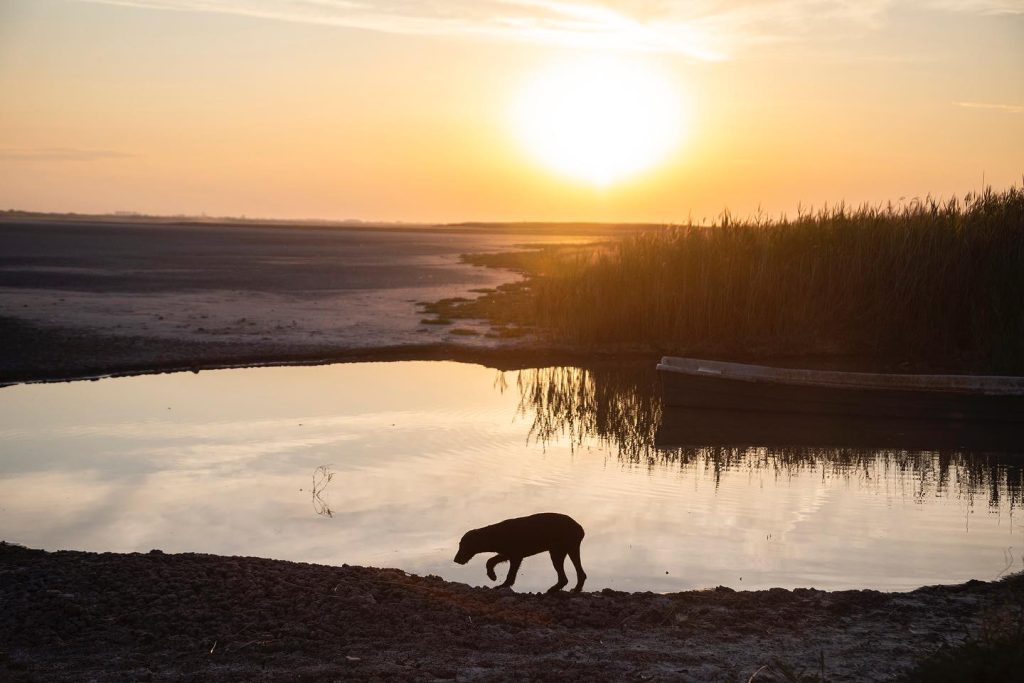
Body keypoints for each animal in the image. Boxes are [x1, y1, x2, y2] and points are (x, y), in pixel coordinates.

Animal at [454, 511, 589, 593]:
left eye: (463, 545)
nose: (455, 560)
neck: (495, 534)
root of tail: (580, 528)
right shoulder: (507, 554)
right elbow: (490, 561)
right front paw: (492, 575)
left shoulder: (516, 556)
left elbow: (510, 575)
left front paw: (501, 584)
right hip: (569, 550)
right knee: (579, 574)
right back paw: (574, 589)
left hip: (557, 553)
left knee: (565, 578)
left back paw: (555, 589)